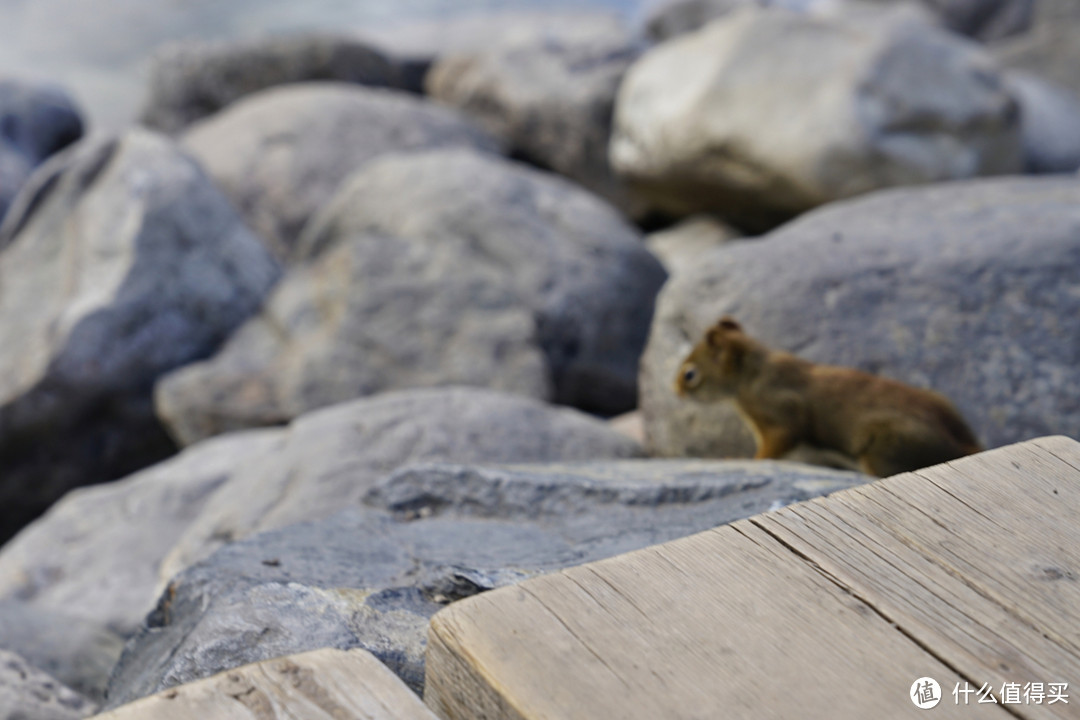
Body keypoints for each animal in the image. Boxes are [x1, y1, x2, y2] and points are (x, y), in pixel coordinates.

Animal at [678, 317, 984, 474]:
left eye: (690, 374)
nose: (675, 390)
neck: (753, 372)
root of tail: (965, 446)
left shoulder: (777, 410)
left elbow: (775, 445)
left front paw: (745, 460)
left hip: (884, 449)